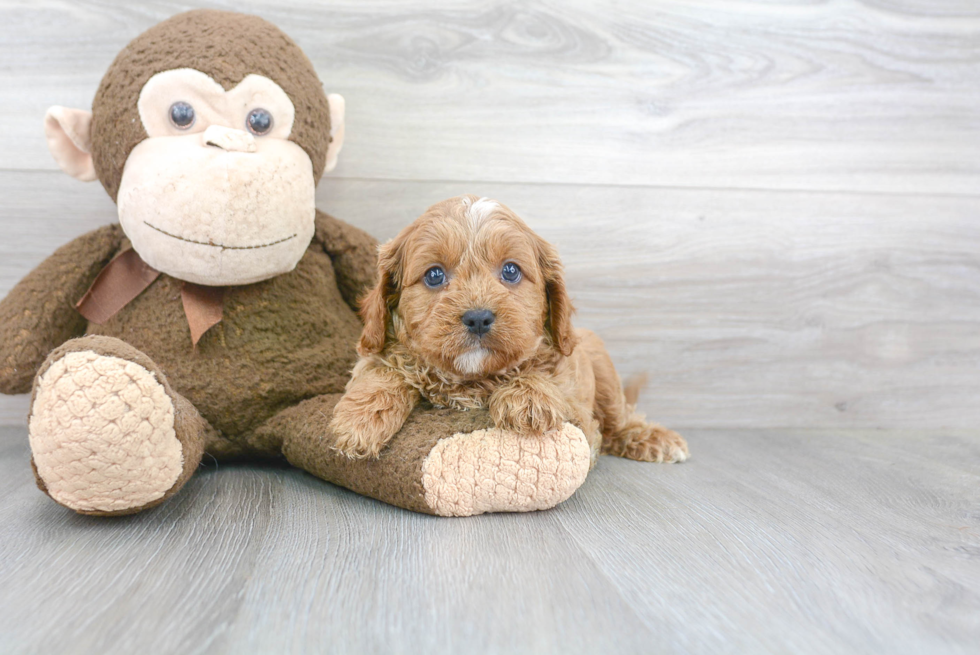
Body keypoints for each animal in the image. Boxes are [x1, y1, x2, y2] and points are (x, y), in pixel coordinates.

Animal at [332, 196, 688, 466]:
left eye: (511, 271)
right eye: (434, 275)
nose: (478, 318)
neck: (474, 380)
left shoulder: (576, 401)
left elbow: (548, 376)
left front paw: (528, 398)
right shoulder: (383, 347)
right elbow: (384, 368)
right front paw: (359, 421)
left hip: (600, 362)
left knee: (618, 418)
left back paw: (652, 438)